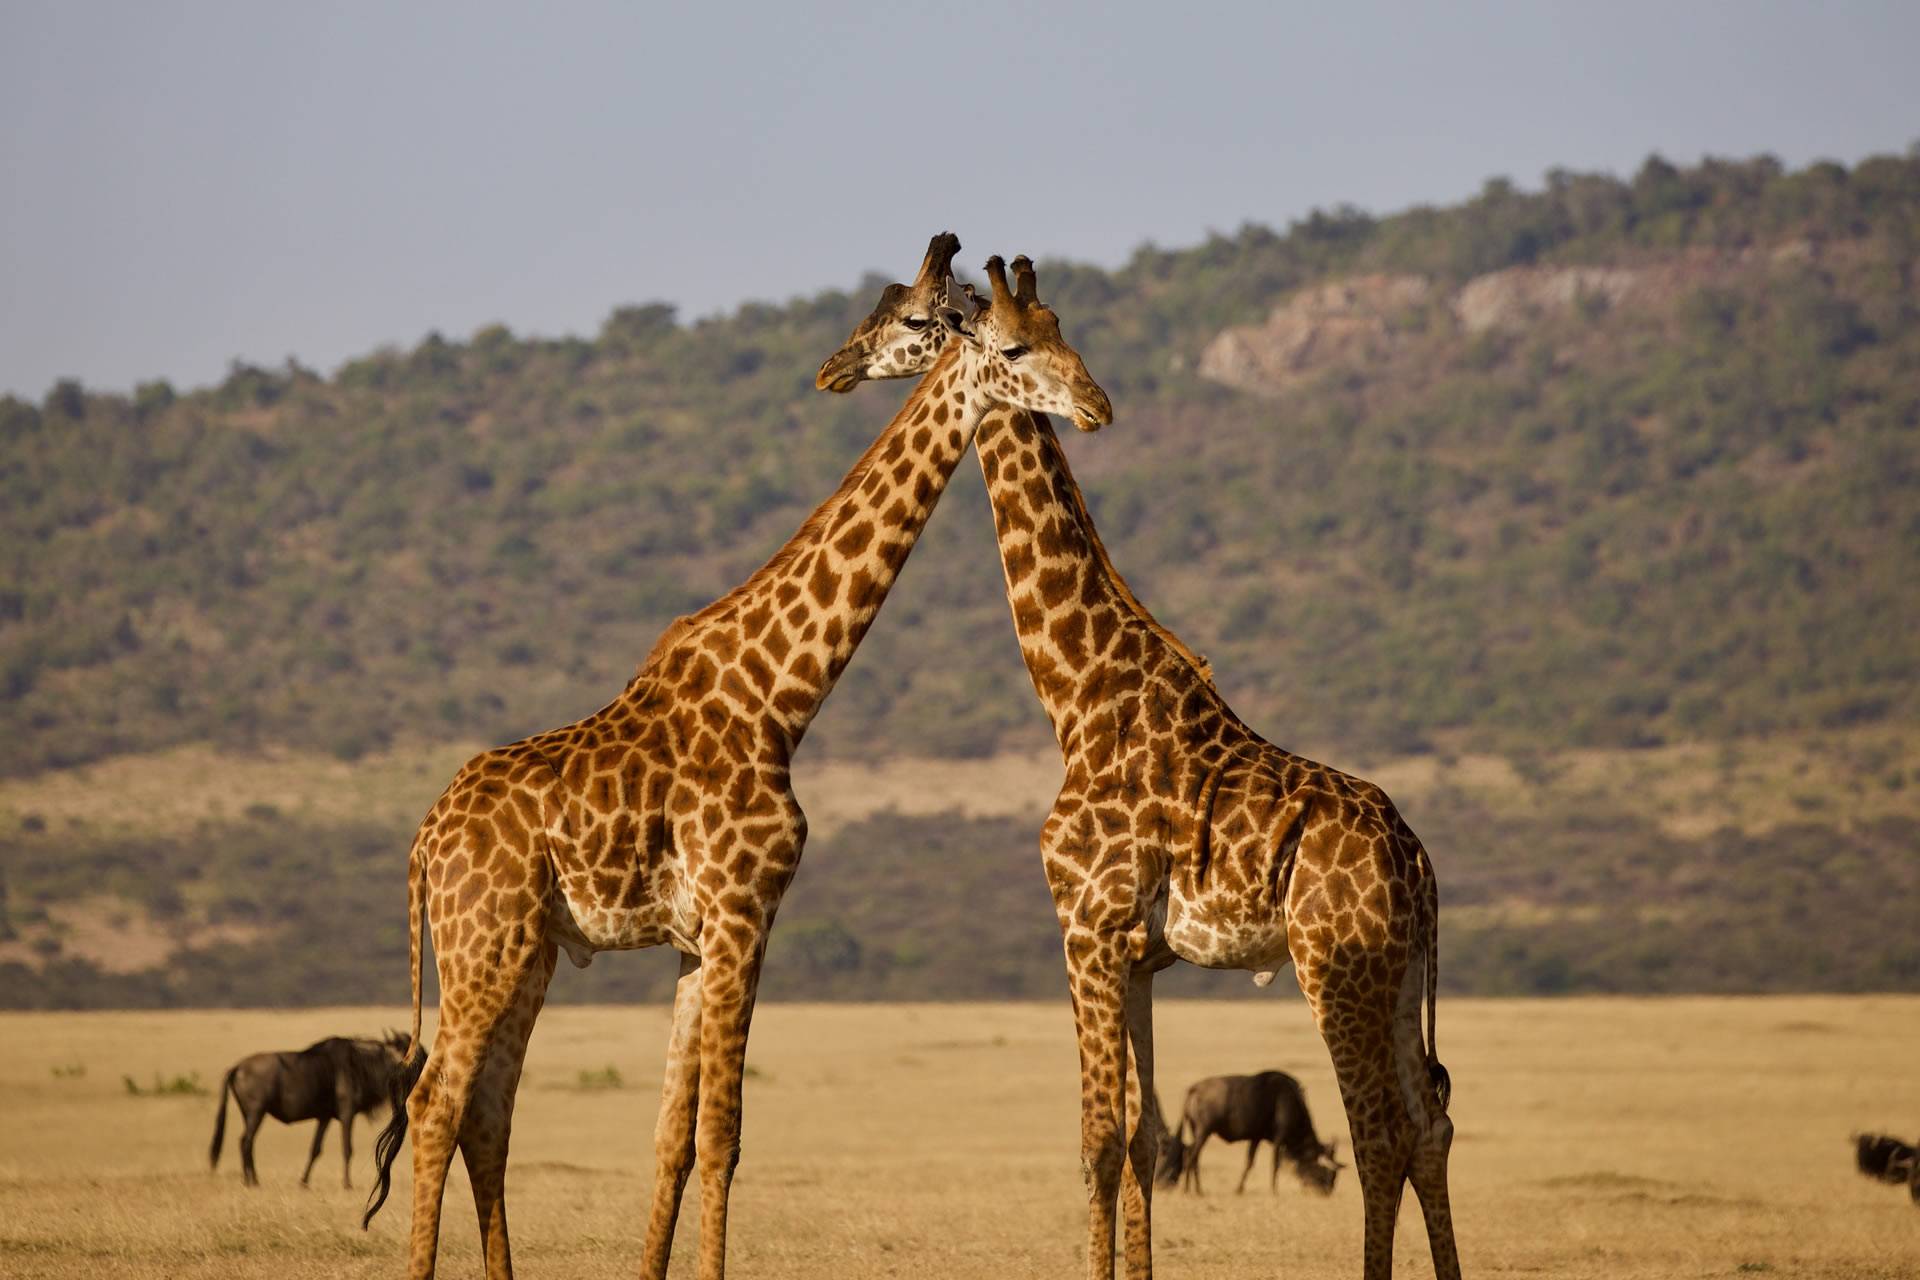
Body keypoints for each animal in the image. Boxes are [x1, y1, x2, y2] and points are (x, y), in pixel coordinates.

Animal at [357, 233, 1113, 1280]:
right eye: (1001, 343)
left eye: (1060, 328)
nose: (1097, 403)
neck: (779, 696)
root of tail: (423, 844)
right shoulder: (747, 910)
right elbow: (724, 1135)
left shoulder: (694, 937)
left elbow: (671, 1138)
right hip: (483, 944)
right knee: (434, 1105)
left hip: (529, 953)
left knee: (486, 1117)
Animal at [817, 255, 1459, 1274]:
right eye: (1023, 337)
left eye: (913, 318)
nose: (1097, 405)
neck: (1078, 696)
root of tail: (1420, 862)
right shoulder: (1142, 957)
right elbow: (1146, 1138)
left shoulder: (1084, 928)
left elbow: (1096, 1139)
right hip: (1399, 978)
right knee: (1430, 1126)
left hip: (1339, 968)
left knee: (1379, 1135)